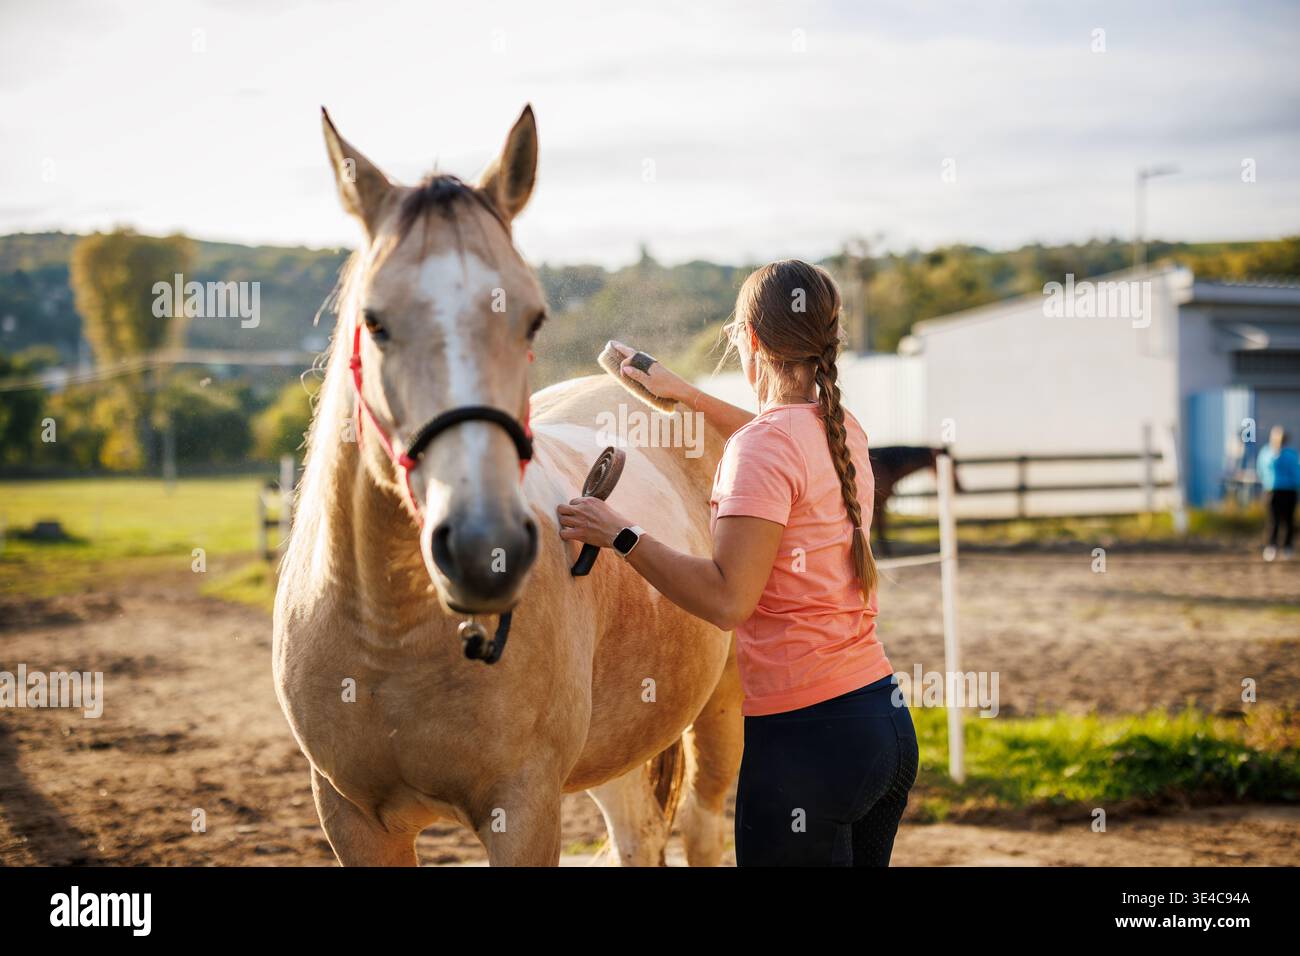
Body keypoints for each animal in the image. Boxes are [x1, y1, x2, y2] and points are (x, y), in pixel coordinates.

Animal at [272, 106, 743, 866]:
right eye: (375, 321)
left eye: (532, 318)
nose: (482, 548)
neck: (390, 636)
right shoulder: (351, 818)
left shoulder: (523, 811)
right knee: (638, 836)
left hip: (722, 707)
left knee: (702, 830)